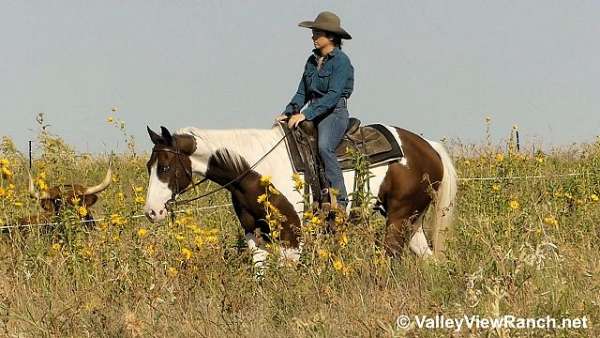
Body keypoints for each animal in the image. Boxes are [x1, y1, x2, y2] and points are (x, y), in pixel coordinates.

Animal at [143, 123, 458, 266]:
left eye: (166, 167)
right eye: (149, 166)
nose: (152, 212)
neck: (257, 169)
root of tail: (428, 146)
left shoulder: (291, 233)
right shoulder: (254, 231)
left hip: (399, 217)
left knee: (389, 255)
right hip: (411, 219)